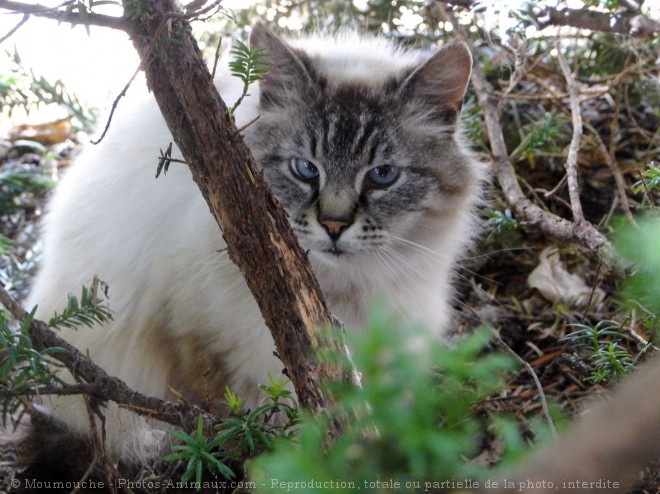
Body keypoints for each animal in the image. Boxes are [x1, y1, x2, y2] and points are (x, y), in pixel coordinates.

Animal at [24, 23, 480, 466]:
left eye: (382, 175)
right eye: (305, 169)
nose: (333, 225)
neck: (342, 294)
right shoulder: (201, 340)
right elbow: (233, 425)